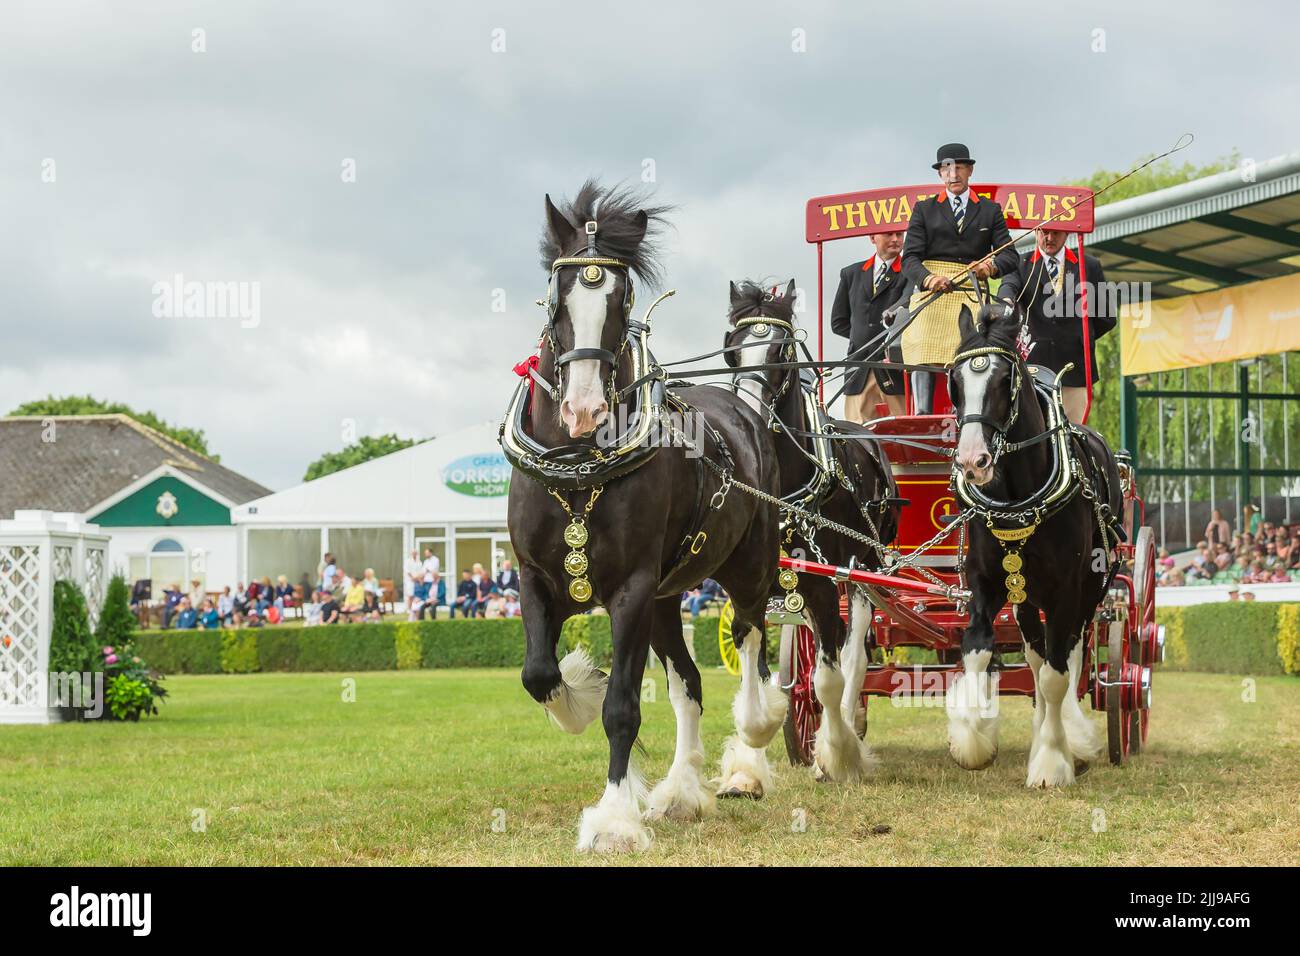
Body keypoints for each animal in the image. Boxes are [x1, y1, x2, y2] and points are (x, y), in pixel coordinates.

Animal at [506, 183, 780, 858]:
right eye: (558, 295)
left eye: (621, 296)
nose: (583, 407)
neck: (578, 463)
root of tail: (746, 407)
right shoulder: (535, 578)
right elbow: (540, 675)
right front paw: (582, 692)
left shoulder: (630, 588)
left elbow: (623, 709)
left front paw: (612, 819)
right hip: (666, 597)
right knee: (689, 683)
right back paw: (681, 791)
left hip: (748, 569)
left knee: (752, 638)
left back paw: (753, 744)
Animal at [722, 280, 904, 790]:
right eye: (731, 350)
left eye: (781, 351)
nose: (745, 417)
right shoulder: (753, 586)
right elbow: (755, 670)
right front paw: (747, 764)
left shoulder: (824, 584)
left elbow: (828, 677)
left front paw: (837, 755)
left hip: (864, 572)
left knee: (853, 654)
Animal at [941, 303, 1123, 790]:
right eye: (954, 381)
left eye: (1005, 380)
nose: (972, 461)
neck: (1019, 497)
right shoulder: (986, 584)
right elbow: (979, 649)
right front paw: (972, 740)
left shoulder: (1066, 592)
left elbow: (1058, 677)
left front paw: (1053, 761)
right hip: (1025, 597)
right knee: (1036, 658)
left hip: (1089, 591)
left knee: (1067, 658)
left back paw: (1068, 737)